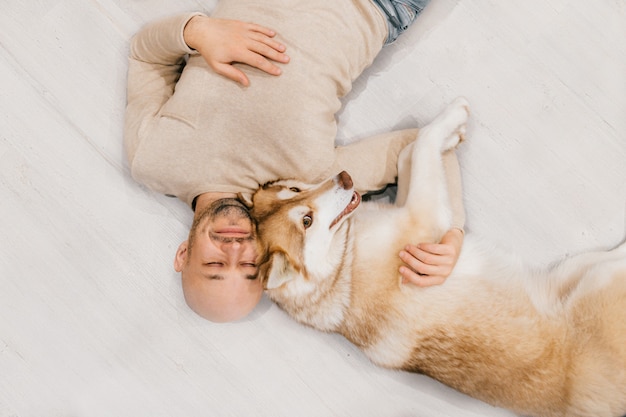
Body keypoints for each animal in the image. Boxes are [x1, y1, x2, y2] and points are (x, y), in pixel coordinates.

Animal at [246, 98, 624, 416]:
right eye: (306, 221)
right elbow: (425, 140)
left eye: (295, 190)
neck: (343, 265)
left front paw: (449, 136)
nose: (344, 176)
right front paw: (452, 119)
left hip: (574, 270)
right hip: (598, 278)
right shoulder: (422, 216)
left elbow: (408, 153)